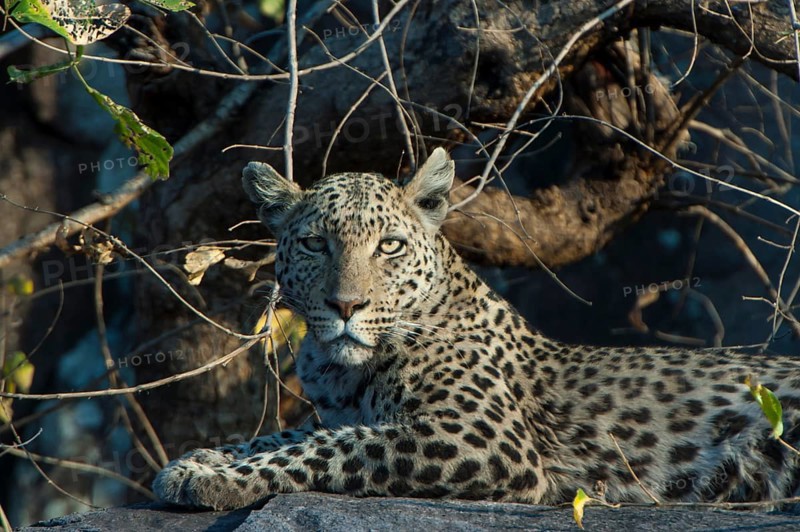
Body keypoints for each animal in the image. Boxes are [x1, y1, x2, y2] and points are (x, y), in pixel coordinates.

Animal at [154, 148, 800, 511]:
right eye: (315, 244)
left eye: (389, 246)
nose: (346, 305)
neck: (342, 368)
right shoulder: (343, 411)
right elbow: (284, 434)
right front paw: (200, 460)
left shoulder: (480, 438)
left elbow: (331, 445)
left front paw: (214, 479)